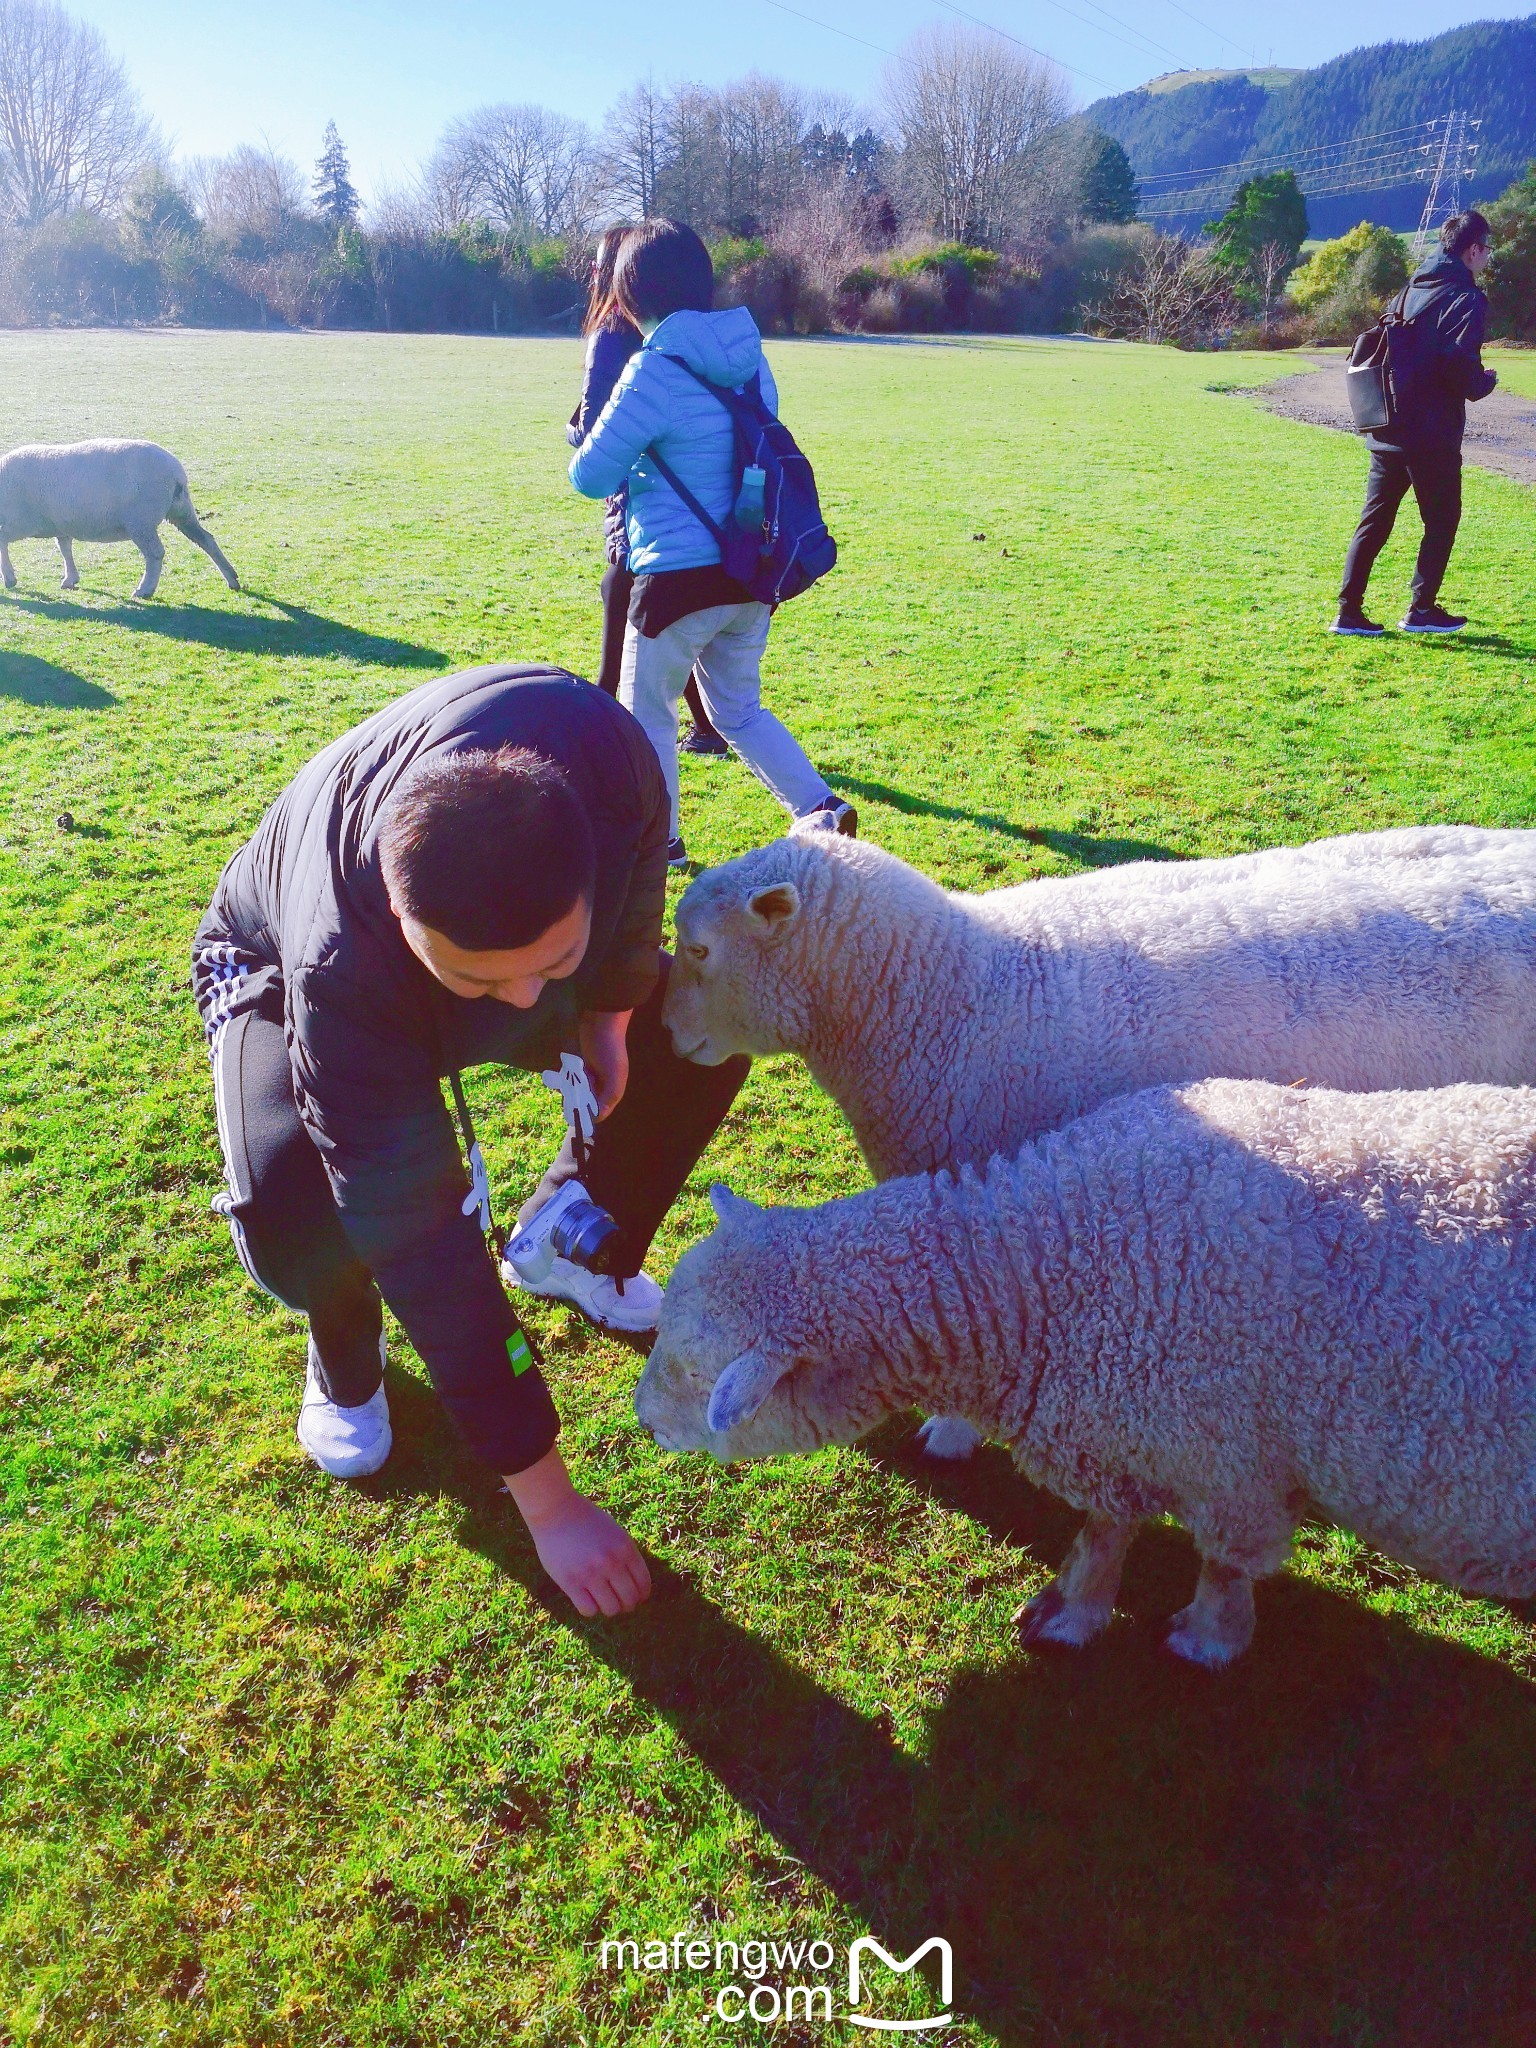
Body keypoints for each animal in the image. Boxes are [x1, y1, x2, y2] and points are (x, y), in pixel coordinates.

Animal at [0, 440, 240, 598]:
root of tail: (176, 473)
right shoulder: (61, 523)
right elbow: (64, 547)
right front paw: (70, 578)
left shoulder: (22, 521)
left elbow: (2, 540)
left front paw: (10, 578)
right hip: (180, 511)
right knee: (206, 539)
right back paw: (232, 578)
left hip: (141, 521)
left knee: (155, 553)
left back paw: (145, 590)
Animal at [634, 1081, 1536, 1671]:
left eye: (690, 1372)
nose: (641, 1420)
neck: (1050, 1264)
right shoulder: (1117, 1426)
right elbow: (1106, 1529)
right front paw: (1073, 1605)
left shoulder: (1227, 1464)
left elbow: (1221, 1561)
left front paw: (1204, 1637)